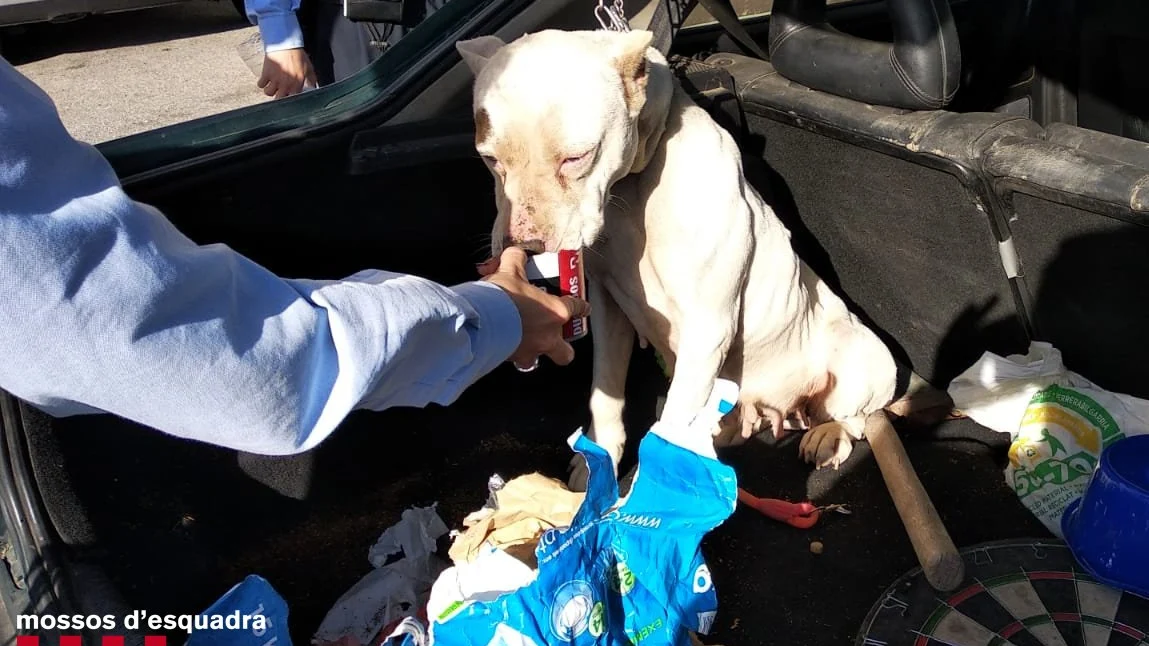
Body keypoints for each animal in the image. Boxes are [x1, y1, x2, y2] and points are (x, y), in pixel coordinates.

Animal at [455, 27, 896, 485]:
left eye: (577, 157)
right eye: (489, 159)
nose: (524, 246)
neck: (631, 187)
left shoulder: (707, 328)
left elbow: (671, 422)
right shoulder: (608, 307)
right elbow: (605, 391)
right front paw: (598, 462)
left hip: (865, 356)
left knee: (857, 416)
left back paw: (828, 435)